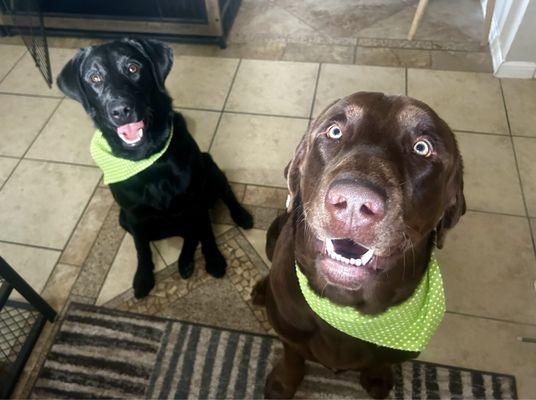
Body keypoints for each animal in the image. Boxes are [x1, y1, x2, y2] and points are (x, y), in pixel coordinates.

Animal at [57, 39, 254, 298]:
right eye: (94, 78)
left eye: (133, 68)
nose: (120, 110)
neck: (148, 161)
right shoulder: (133, 215)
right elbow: (142, 248)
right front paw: (143, 278)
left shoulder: (196, 200)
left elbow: (207, 231)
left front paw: (213, 259)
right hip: (123, 219)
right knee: (188, 234)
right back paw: (185, 261)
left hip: (211, 168)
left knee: (224, 200)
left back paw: (240, 217)